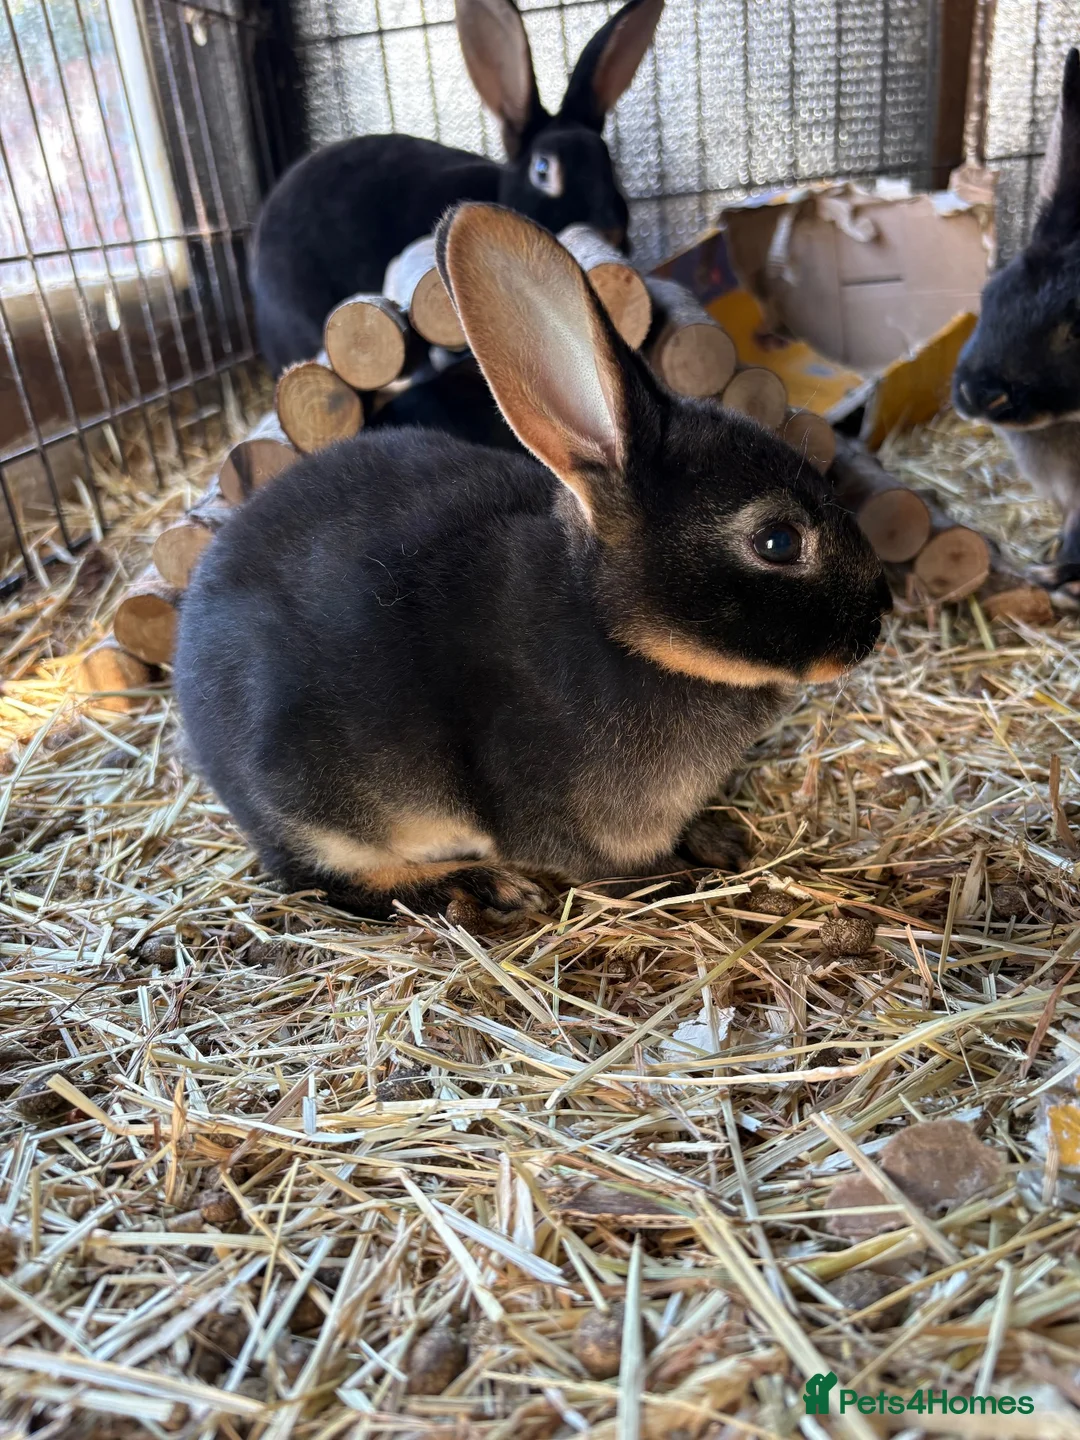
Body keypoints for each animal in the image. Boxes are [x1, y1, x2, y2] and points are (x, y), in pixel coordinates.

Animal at [176, 203, 889, 923]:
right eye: (778, 542)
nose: (880, 617)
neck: (619, 632)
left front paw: (716, 839)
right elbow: (610, 872)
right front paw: (675, 880)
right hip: (317, 807)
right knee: (316, 878)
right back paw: (477, 886)